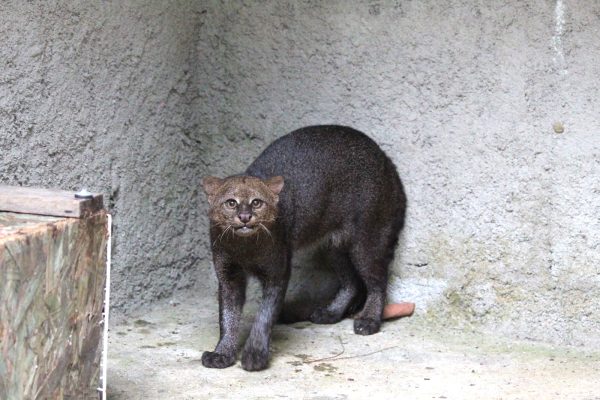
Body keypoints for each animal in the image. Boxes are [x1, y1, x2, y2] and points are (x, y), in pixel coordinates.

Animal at [200, 126, 404, 372]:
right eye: (231, 202)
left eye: (257, 202)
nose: (245, 217)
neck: (245, 248)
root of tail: (385, 158)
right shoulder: (228, 275)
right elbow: (228, 316)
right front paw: (222, 353)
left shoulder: (277, 272)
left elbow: (264, 315)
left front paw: (254, 355)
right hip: (333, 247)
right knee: (351, 280)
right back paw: (330, 313)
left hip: (366, 240)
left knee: (377, 281)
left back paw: (369, 320)